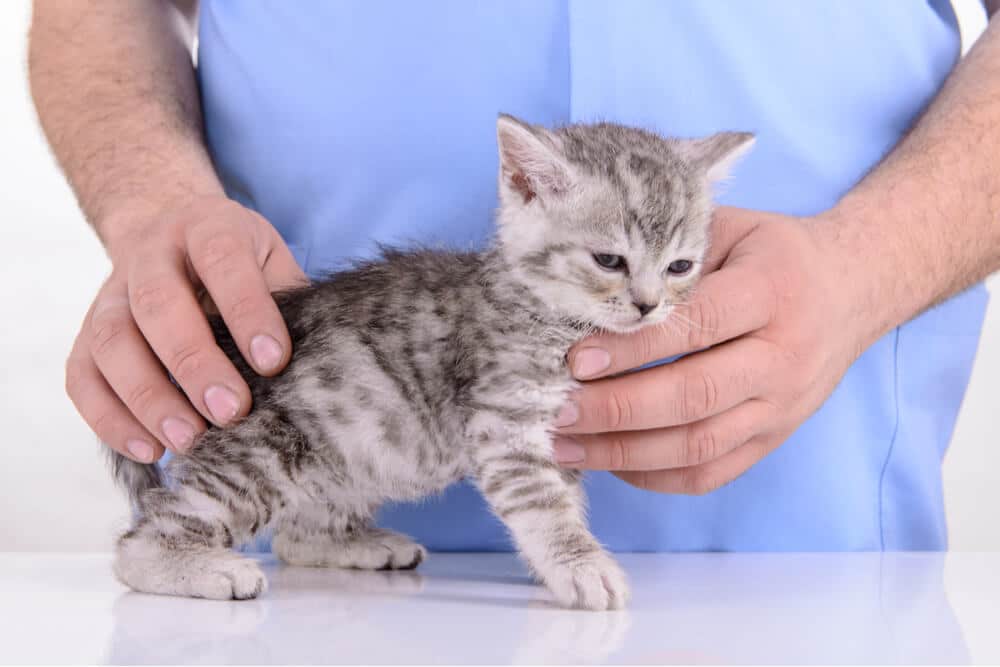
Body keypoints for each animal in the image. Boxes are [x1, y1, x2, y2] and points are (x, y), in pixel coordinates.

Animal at [107, 116, 752, 612]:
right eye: (609, 260)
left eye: (680, 267)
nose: (648, 306)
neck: (542, 310)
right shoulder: (504, 424)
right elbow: (542, 504)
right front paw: (581, 565)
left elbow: (562, 498)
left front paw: (556, 564)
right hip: (265, 450)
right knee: (141, 542)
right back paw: (206, 568)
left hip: (346, 460)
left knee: (293, 535)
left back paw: (354, 545)